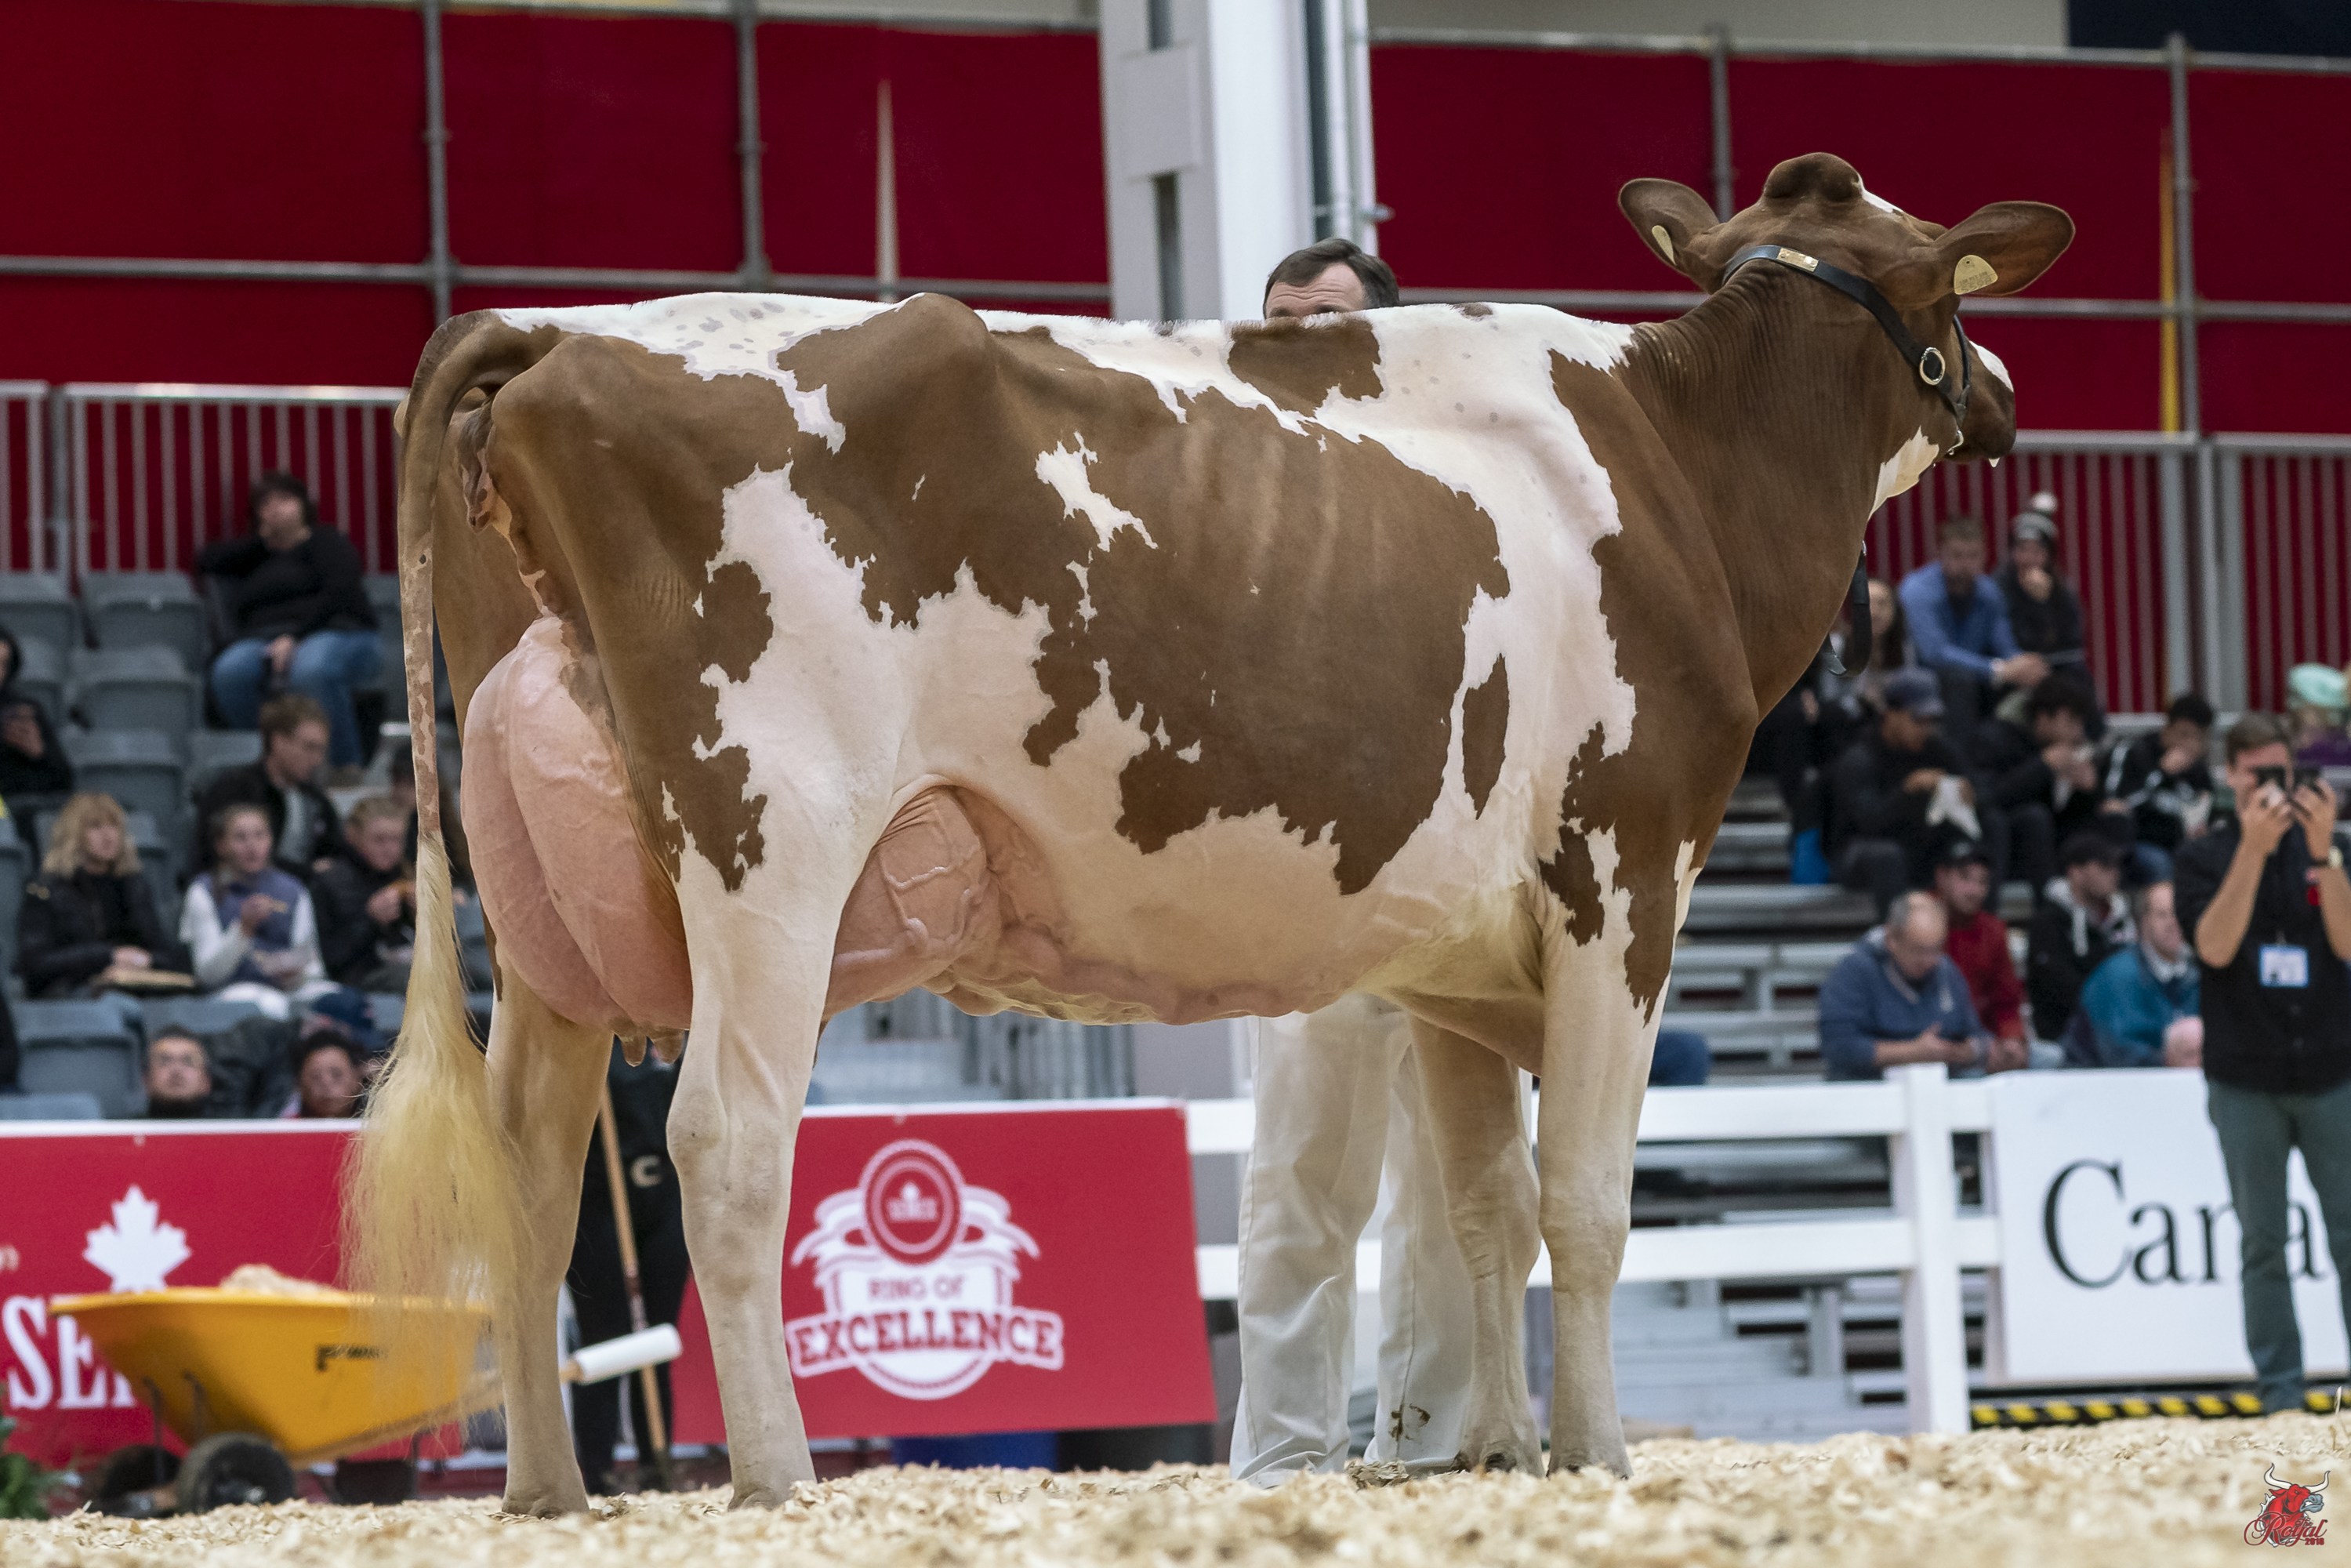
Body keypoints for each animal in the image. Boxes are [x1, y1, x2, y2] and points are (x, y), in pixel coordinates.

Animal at [350, 151, 2070, 1514]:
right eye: (1947, 286)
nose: (1995, 393)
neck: (1678, 472)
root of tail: (564, 329)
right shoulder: (1621, 874)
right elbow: (1581, 1201)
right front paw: (1594, 1455)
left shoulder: (1463, 949)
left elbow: (1481, 1210)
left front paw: (1500, 1454)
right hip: (768, 832)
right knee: (723, 1139)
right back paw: (774, 1480)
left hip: (544, 903)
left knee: (529, 1159)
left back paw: (545, 1490)